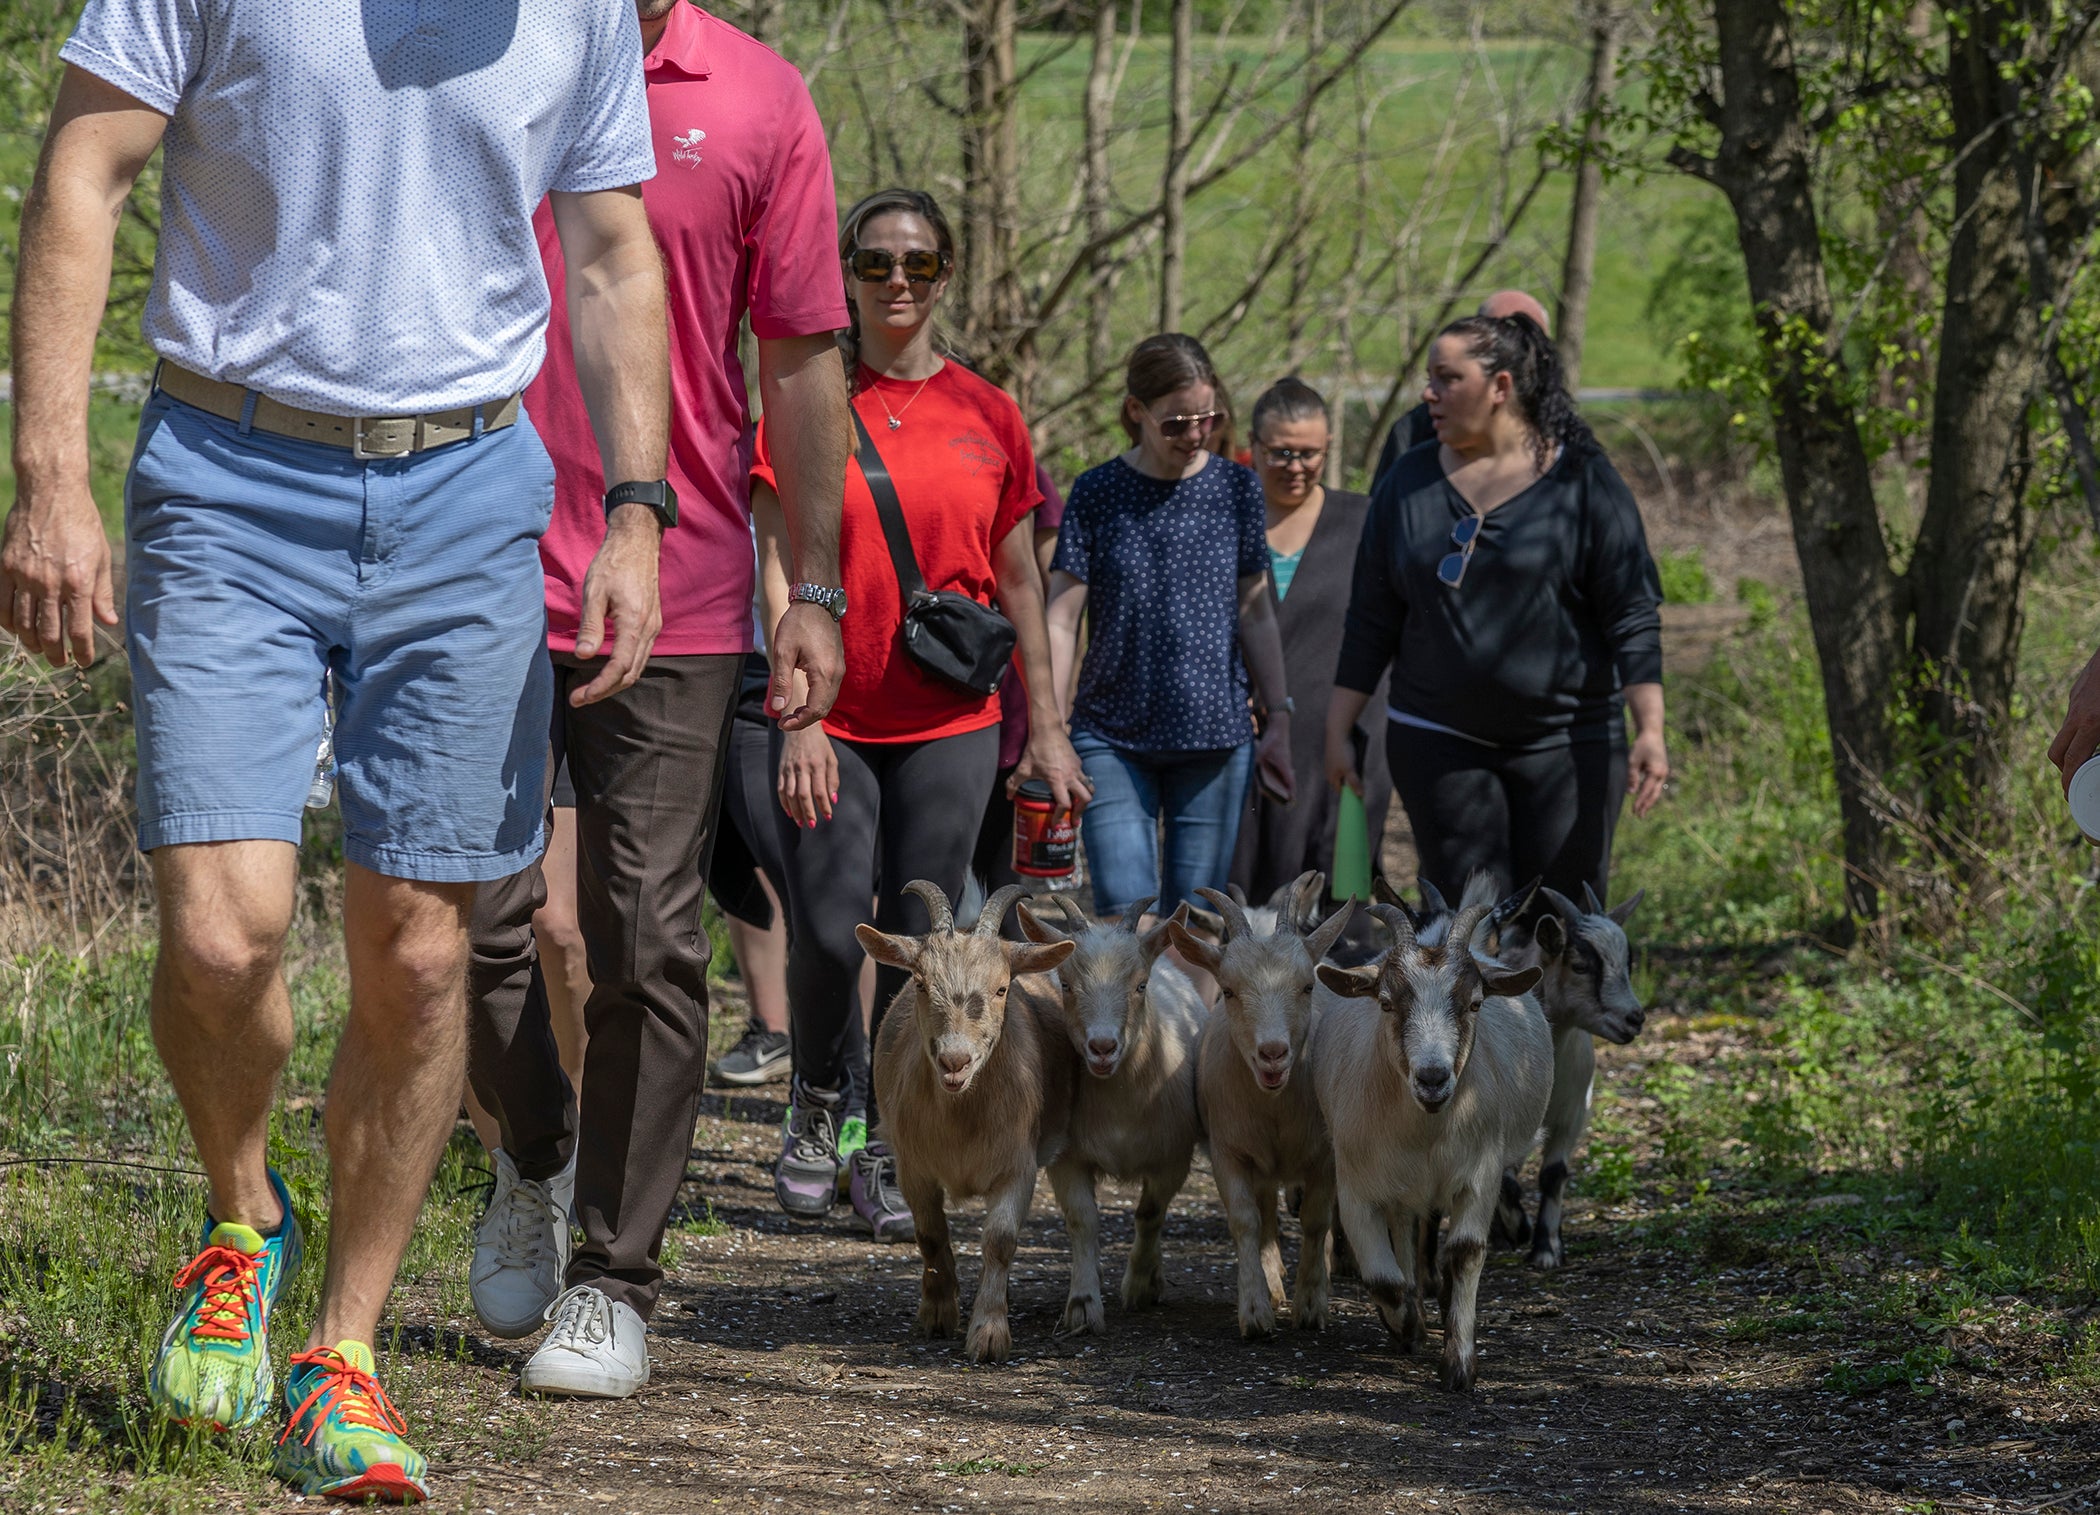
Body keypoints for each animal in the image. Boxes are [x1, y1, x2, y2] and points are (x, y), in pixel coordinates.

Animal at [861, 881, 1077, 1364]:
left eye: (1001, 989)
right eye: (920, 983)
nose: (955, 1061)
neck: (962, 1120)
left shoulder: (1018, 1166)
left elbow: (1000, 1240)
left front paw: (989, 1334)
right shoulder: (913, 1167)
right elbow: (929, 1233)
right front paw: (938, 1314)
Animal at [1014, 893, 1207, 1334]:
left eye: (1140, 985)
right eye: (1066, 985)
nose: (1102, 1047)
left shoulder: (1173, 1156)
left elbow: (1150, 1214)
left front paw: (1138, 1285)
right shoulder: (1067, 1157)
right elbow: (1082, 1221)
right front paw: (1084, 1304)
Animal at [1167, 873, 1354, 1340]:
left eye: (1307, 987)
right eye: (1229, 991)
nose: (1273, 1053)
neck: (1274, 1108)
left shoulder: (1325, 1155)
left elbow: (1316, 1221)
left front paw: (1311, 1305)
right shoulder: (1229, 1151)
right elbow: (1247, 1222)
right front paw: (1255, 1311)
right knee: (1266, 1214)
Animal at [1312, 900, 1550, 1392]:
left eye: (1475, 1003)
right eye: (1386, 1002)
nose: (1433, 1078)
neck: (1425, 1132)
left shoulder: (1481, 1175)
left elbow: (1464, 1252)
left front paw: (1459, 1365)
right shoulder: (1357, 1187)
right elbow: (1382, 1278)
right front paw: (1405, 1326)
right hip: (1401, 1188)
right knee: (1405, 1232)